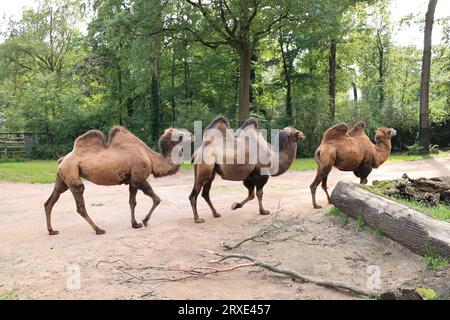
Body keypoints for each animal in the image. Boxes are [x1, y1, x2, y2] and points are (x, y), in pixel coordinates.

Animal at [43, 125, 194, 235]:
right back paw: (98, 229)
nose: (193, 135)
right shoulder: (139, 177)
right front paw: (145, 220)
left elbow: (132, 202)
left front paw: (135, 224)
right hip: (71, 174)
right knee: (80, 203)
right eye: (180, 134)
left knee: (50, 201)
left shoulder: (132, 180)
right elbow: (156, 199)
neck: (151, 158)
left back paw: (52, 230)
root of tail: (62, 159)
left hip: (63, 178)